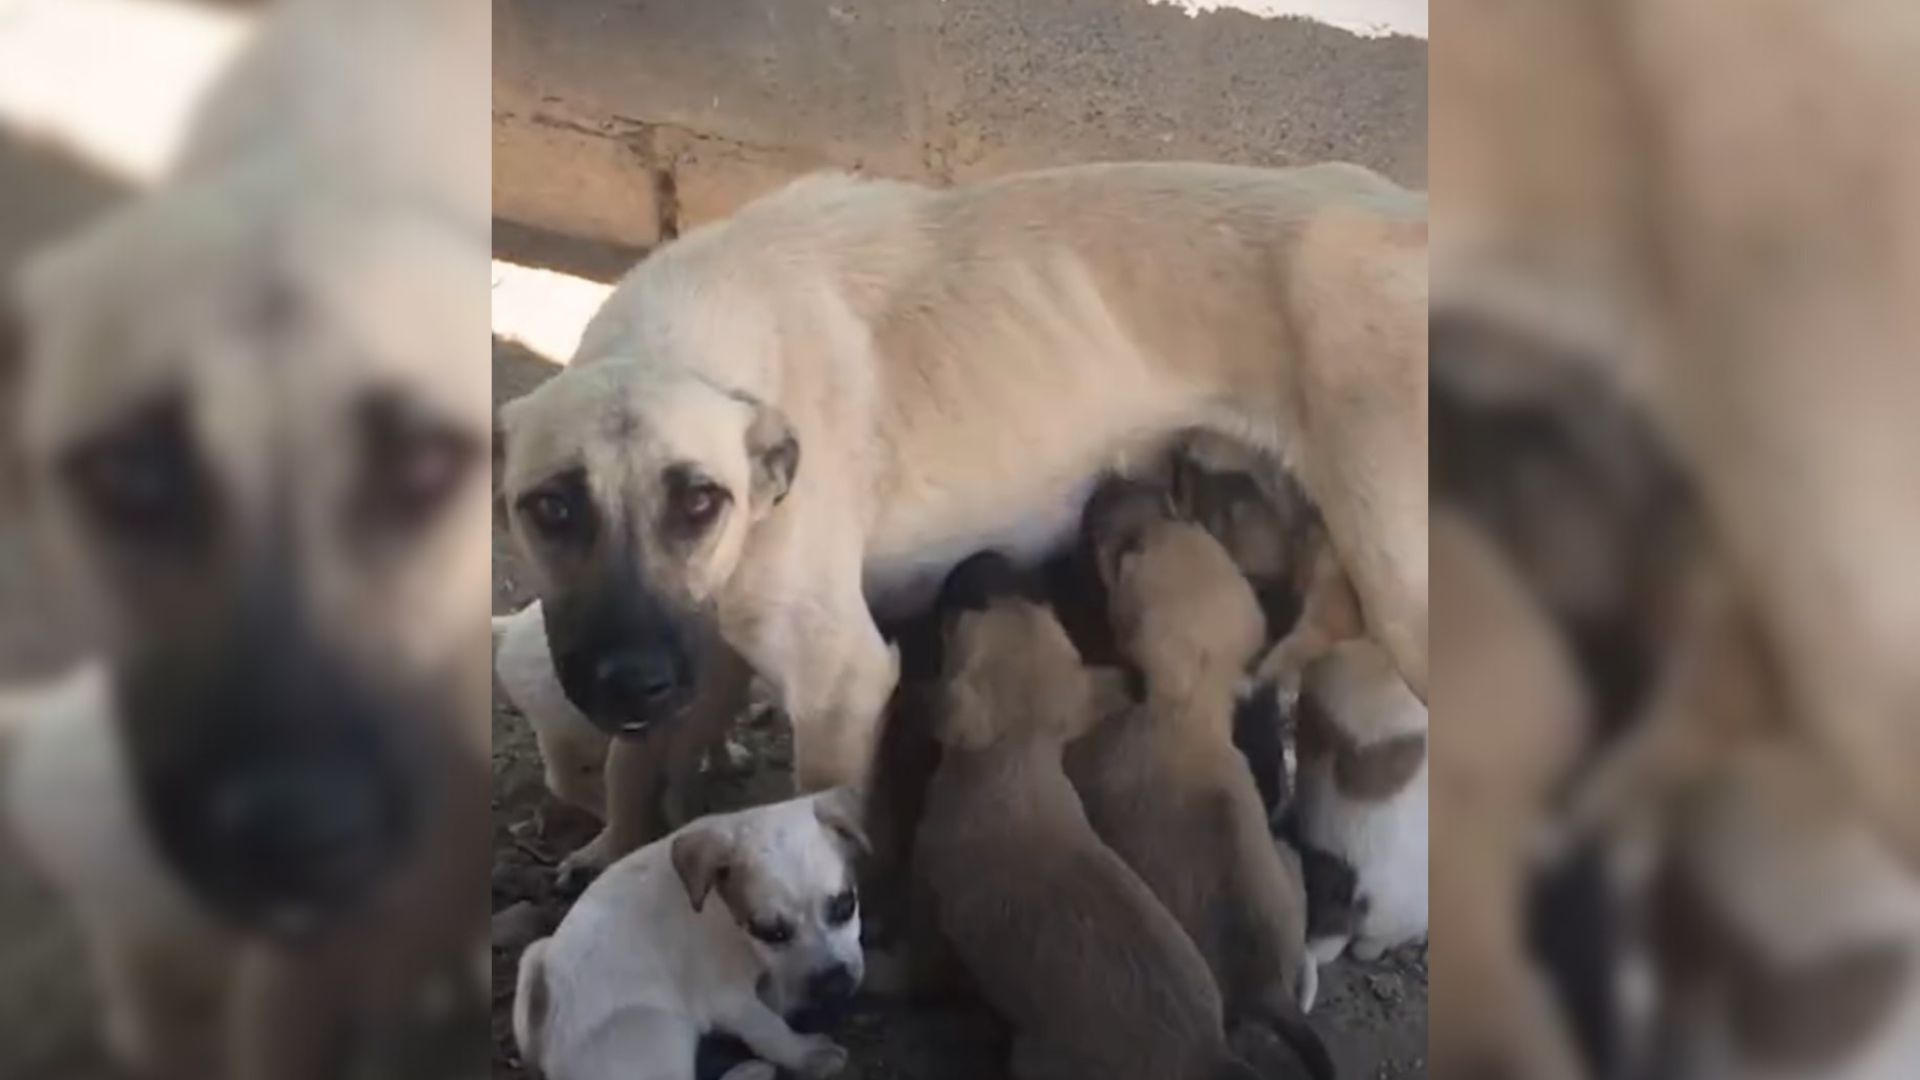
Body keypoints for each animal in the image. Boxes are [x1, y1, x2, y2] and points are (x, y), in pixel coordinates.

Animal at [495, 159, 1428, 864]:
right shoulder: (702, 647)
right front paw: (614, 848)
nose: (628, 678)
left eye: (698, 500)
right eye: (550, 508)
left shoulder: (839, 684)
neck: (688, 342)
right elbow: (634, 763)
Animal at [510, 780, 871, 1076]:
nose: (835, 984)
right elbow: (769, 1027)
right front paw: (806, 1053)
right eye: (770, 932)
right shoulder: (728, 998)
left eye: (845, 905)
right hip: (661, 1029)